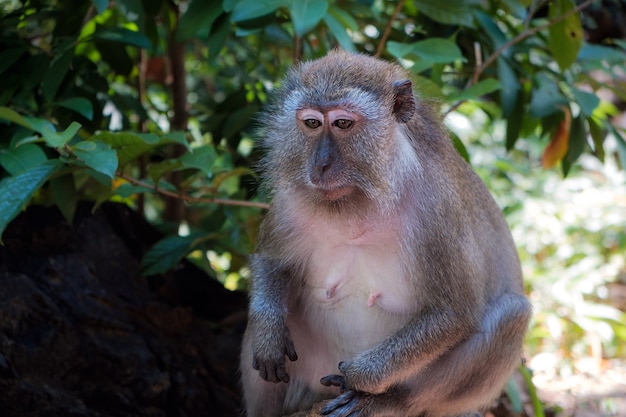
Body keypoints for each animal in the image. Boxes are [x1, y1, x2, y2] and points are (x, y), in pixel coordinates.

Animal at [240, 51, 532, 416]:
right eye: (311, 123)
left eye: (342, 124)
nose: (320, 164)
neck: (363, 200)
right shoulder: (289, 198)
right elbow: (272, 262)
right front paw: (269, 335)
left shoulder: (439, 212)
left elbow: (454, 313)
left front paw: (358, 377)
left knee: (512, 315)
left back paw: (388, 401)